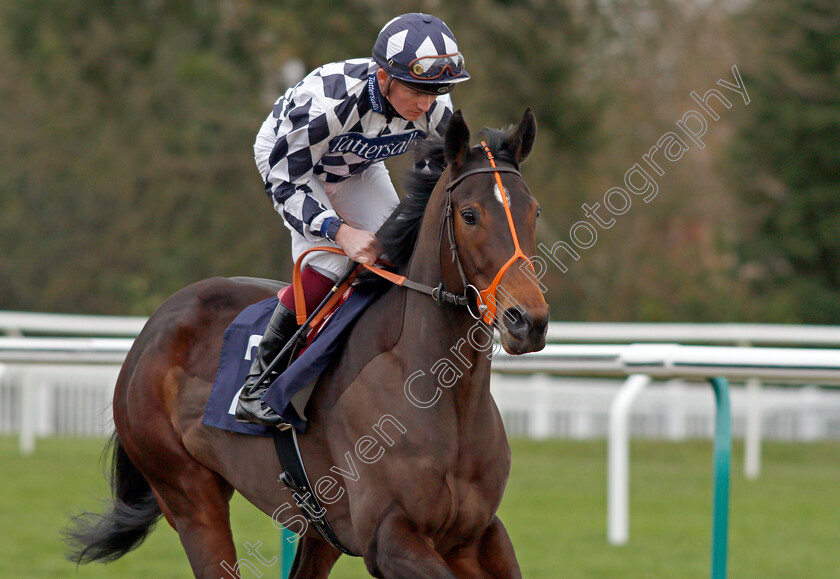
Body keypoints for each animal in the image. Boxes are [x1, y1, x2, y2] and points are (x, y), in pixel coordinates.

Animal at [67, 107, 552, 576]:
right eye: (470, 215)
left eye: (534, 211)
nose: (527, 321)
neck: (442, 391)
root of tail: (152, 328)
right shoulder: (388, 536)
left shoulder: (476, 535)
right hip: (188, 495)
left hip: (321, 530)